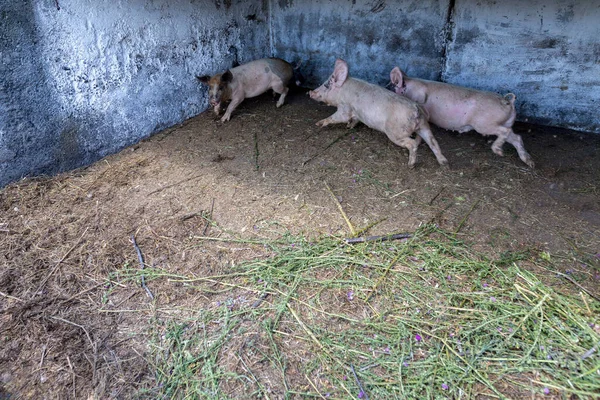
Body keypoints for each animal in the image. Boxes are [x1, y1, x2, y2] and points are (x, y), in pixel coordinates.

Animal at [310, 58, 446, 168]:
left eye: (326, 85)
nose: (310, 92)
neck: (342, 90)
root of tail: (416, 110)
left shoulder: (345, 108)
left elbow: (338, 117)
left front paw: (318, 123)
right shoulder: (357, 114)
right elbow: (354, 120)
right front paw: (349, 126)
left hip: (396, 133)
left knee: (412, 144)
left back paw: (411, 165)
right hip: (424, 126)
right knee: (433, 142)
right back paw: (444, 163)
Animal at [392, 67, 536, 167]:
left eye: (396, 89)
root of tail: (508, 102)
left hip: (484, 125)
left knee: (505, 132)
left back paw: (499, 151)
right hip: (504, 123)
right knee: (516, 137)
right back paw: (530, 163)